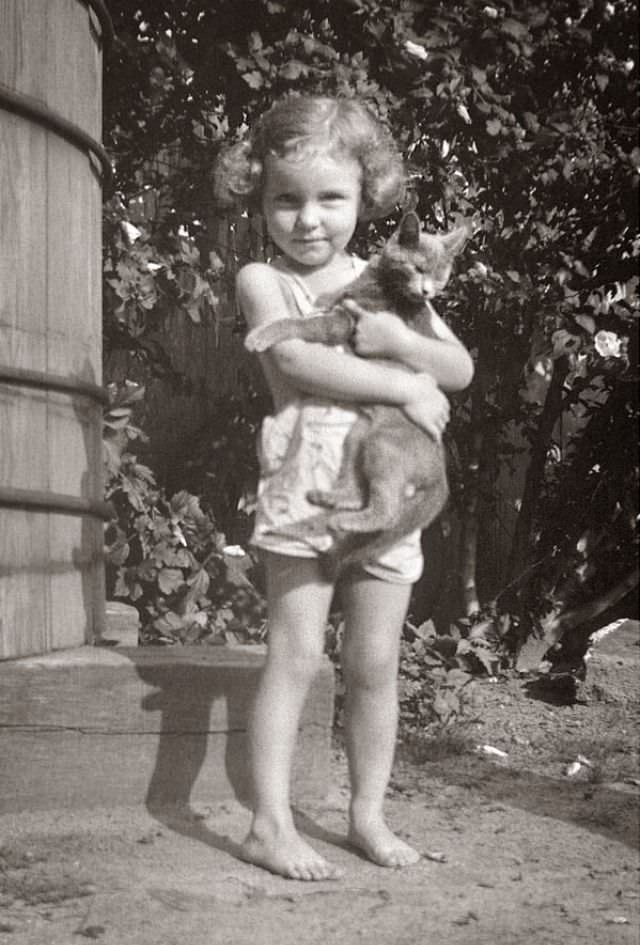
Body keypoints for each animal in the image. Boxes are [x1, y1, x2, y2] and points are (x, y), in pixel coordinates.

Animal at [245, 210, 470, 572]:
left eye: (440, 277)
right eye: (419, 268)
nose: (427, 293)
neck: (383, 283)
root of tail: (442, 476)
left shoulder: (346, 323)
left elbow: (304, 324)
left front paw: (261, 335)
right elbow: (335, 295)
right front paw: (323, 296)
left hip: (384, 446)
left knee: (387, 509)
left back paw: (343, 521)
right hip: (359, 436)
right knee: (359, 490)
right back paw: (329, 497)